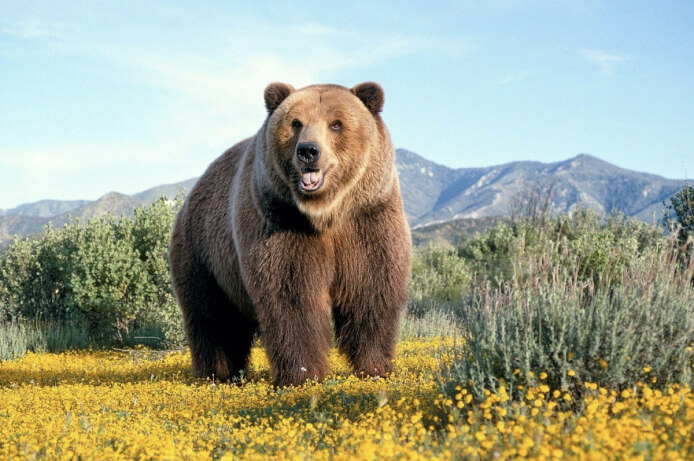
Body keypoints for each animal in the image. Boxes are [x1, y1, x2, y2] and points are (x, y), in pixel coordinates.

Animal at [169, 82, 411, 387]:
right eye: (296, 123)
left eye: (336, 124)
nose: (308, 150)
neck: (325, 213)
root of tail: (192, 193)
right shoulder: (281, 222)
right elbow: (292, 296)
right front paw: (302, 375)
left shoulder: (367, 219)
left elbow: (370, 289)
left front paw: (375, 367)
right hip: (204, 254)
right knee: (213, 318)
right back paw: (217, 374)